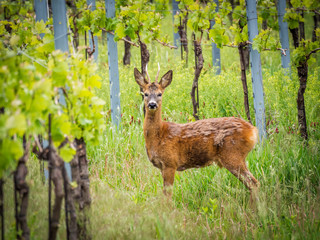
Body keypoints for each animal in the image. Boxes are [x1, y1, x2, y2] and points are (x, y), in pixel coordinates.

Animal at [133, 66, 260, 196]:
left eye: (160, 94)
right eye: (145, 94)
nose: (152, 104)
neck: (159, 136)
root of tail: (253, 130)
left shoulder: (170, 163)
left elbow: (168, 195)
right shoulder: (162, 167)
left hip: (233, 155)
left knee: (254, 183)